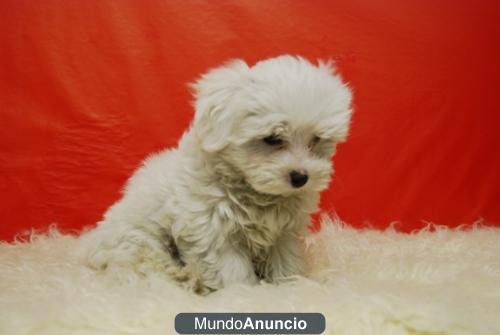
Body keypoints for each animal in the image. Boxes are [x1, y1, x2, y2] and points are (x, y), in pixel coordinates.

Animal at [76, 55, 354, 294]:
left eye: (316, 139)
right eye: (273, 139)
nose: (300, 177)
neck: (256, 192)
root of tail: (89, 245)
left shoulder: (284, 232)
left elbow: (285, 260)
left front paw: (291, 285)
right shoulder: (211, 228)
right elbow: (231, 271)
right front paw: (244, 294)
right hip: (138, 240)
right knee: (143, 264)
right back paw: (183, 275)